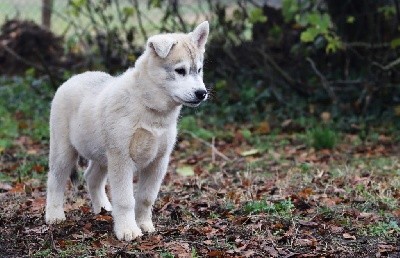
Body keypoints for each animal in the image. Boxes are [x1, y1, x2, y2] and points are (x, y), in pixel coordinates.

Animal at [45, 21, 209, 241]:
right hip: (65, 151)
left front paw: (144, 224)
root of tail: (75, 77)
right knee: (55, 180)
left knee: (91, 177)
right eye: (180, 70)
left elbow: (146, 197)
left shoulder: (158, 161)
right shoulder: (122, 158)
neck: (149, 108)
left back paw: (103, 209)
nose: (202, 93)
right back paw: (54, 215)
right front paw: (128, 230)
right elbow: (125, 199)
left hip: (102, 156)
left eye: (199, 70)